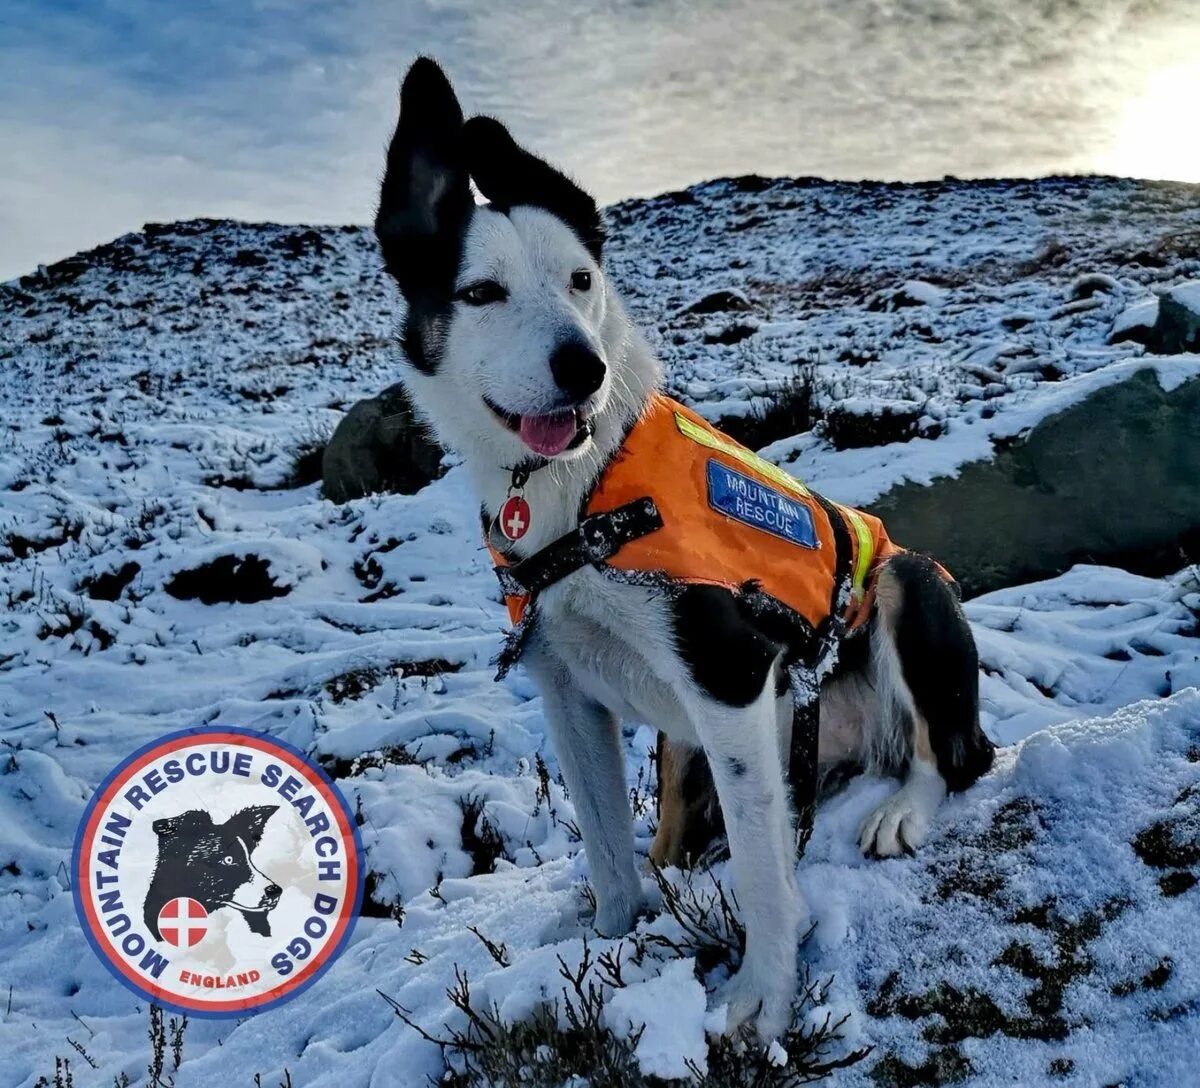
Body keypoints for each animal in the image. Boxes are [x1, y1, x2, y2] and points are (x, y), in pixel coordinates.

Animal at [372, 57, 993, 1036]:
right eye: (480, 294)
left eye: (582, 279)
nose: (581, 367)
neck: (584, 492)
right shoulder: (567, 692)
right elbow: (606, 851)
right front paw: (612, 936)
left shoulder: (728, 676)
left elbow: (766, 873)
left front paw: (762, 997)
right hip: (692, 739)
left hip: (904, 581)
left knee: (951, 752)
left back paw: (900, 810)